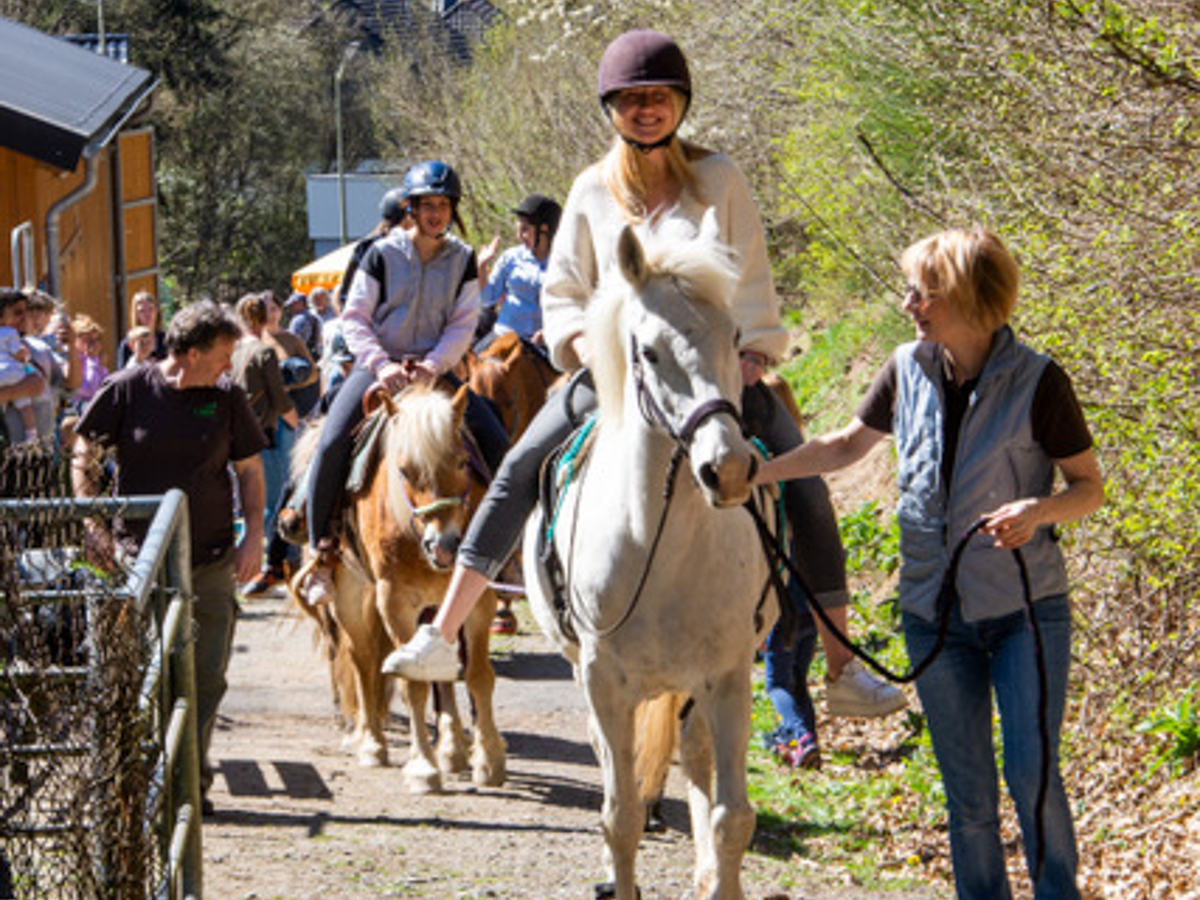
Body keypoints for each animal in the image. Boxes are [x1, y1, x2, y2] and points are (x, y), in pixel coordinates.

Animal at [291, 384, 506, 792]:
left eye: (462, 463)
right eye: (404, 471)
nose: (445, 545)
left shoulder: (479, 598)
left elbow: (477, 675)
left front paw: (488, 760)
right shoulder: (395, 603)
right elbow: (411, 685)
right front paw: (422, 768)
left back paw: (451, 748)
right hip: (351, 598)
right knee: (362, 662)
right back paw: (372, 743)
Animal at [525, 213, 777, 900]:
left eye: (735, 337)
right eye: (650, 352)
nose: (728, 469)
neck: (661, 550)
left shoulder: (728, 677)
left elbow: (732, 817)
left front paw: (721, 881)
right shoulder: (603, 681)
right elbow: (621, 815)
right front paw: (620, 875)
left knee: (696, 757)